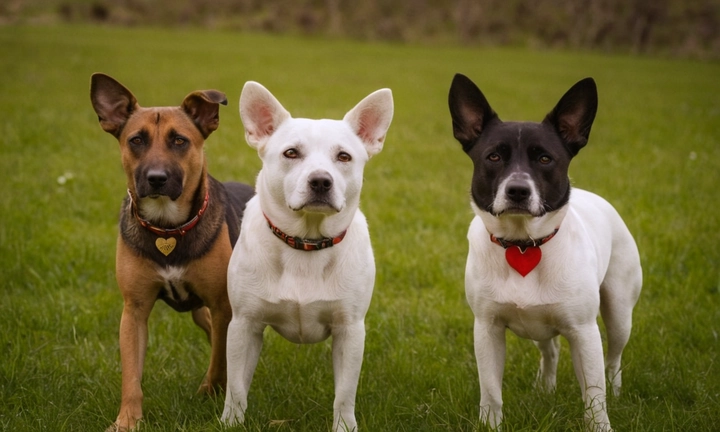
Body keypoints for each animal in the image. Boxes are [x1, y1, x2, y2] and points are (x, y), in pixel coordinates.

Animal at [91, 72, 256, 430]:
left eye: (179, 141)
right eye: (136, 140)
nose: (156, 178)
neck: (167, 228)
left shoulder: (222, 306)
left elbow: (219, 360)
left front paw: (210, 392)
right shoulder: (134, 310)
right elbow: (131, 375)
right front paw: (127, 420)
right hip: (199, 312)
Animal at [222, 82, 394, 432]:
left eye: (344, 156)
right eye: (291, 153)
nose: (320, 181)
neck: (306, 243)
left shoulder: (350, 331)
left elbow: (344, 393)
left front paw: (344, 426)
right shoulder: (244, 325)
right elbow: (235, 386)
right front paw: (231, 421)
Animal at [448, 72, 644, 430]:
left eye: (544, 158)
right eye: (493, 157)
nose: (518, 190)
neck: (523, 244)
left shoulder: (584, 331)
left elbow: (594, 395)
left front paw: (601, 424)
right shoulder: (487, 329)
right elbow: (491, 391)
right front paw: (491, 424)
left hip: (620, 312)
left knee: (614, 359)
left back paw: (616, 390)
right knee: (550, 351)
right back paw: (545, 389)